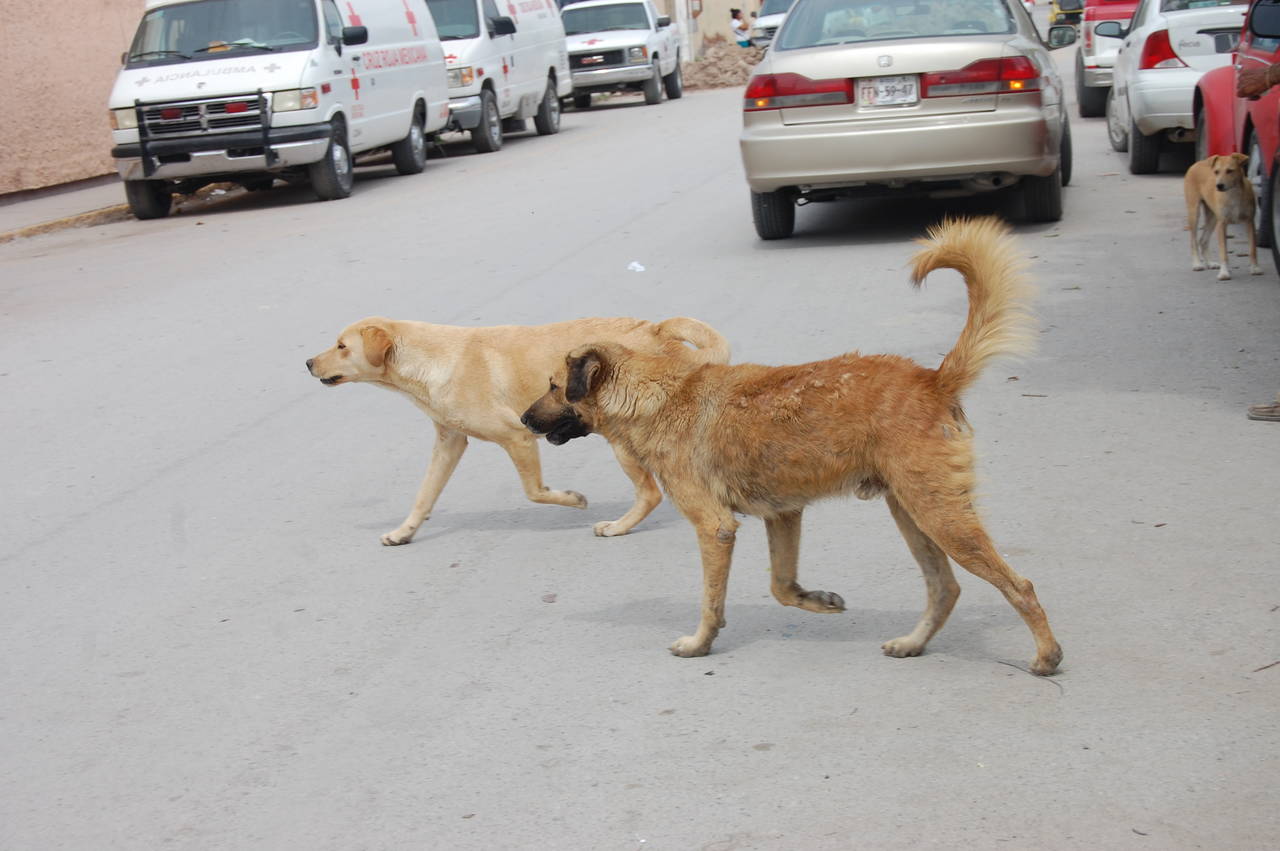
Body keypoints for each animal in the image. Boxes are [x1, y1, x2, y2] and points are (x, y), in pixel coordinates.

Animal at [305, 313, 732, 545]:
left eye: (341, 346)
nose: (308, 363)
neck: (432, 359)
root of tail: (656, 329)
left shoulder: (518, 435)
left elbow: (534, 491)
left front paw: (572, 499)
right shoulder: (449, 442)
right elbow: (423, 496)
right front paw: (403, 532)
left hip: (622, 438)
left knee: (650, 493)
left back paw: (619, 526)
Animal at [519, 216, 1059, 675]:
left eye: (553, 385)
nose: (523, 419)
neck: (657, 393)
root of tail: (933, 381)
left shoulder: (715, 528)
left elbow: (711, 600)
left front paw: (700, 643)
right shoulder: (783, 515)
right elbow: (780, 586)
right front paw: (816, 600)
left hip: (941, 515)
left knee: (1020, 585)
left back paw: (1047, 655)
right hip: (911, 513)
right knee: (945, 588)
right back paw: (913, 642)